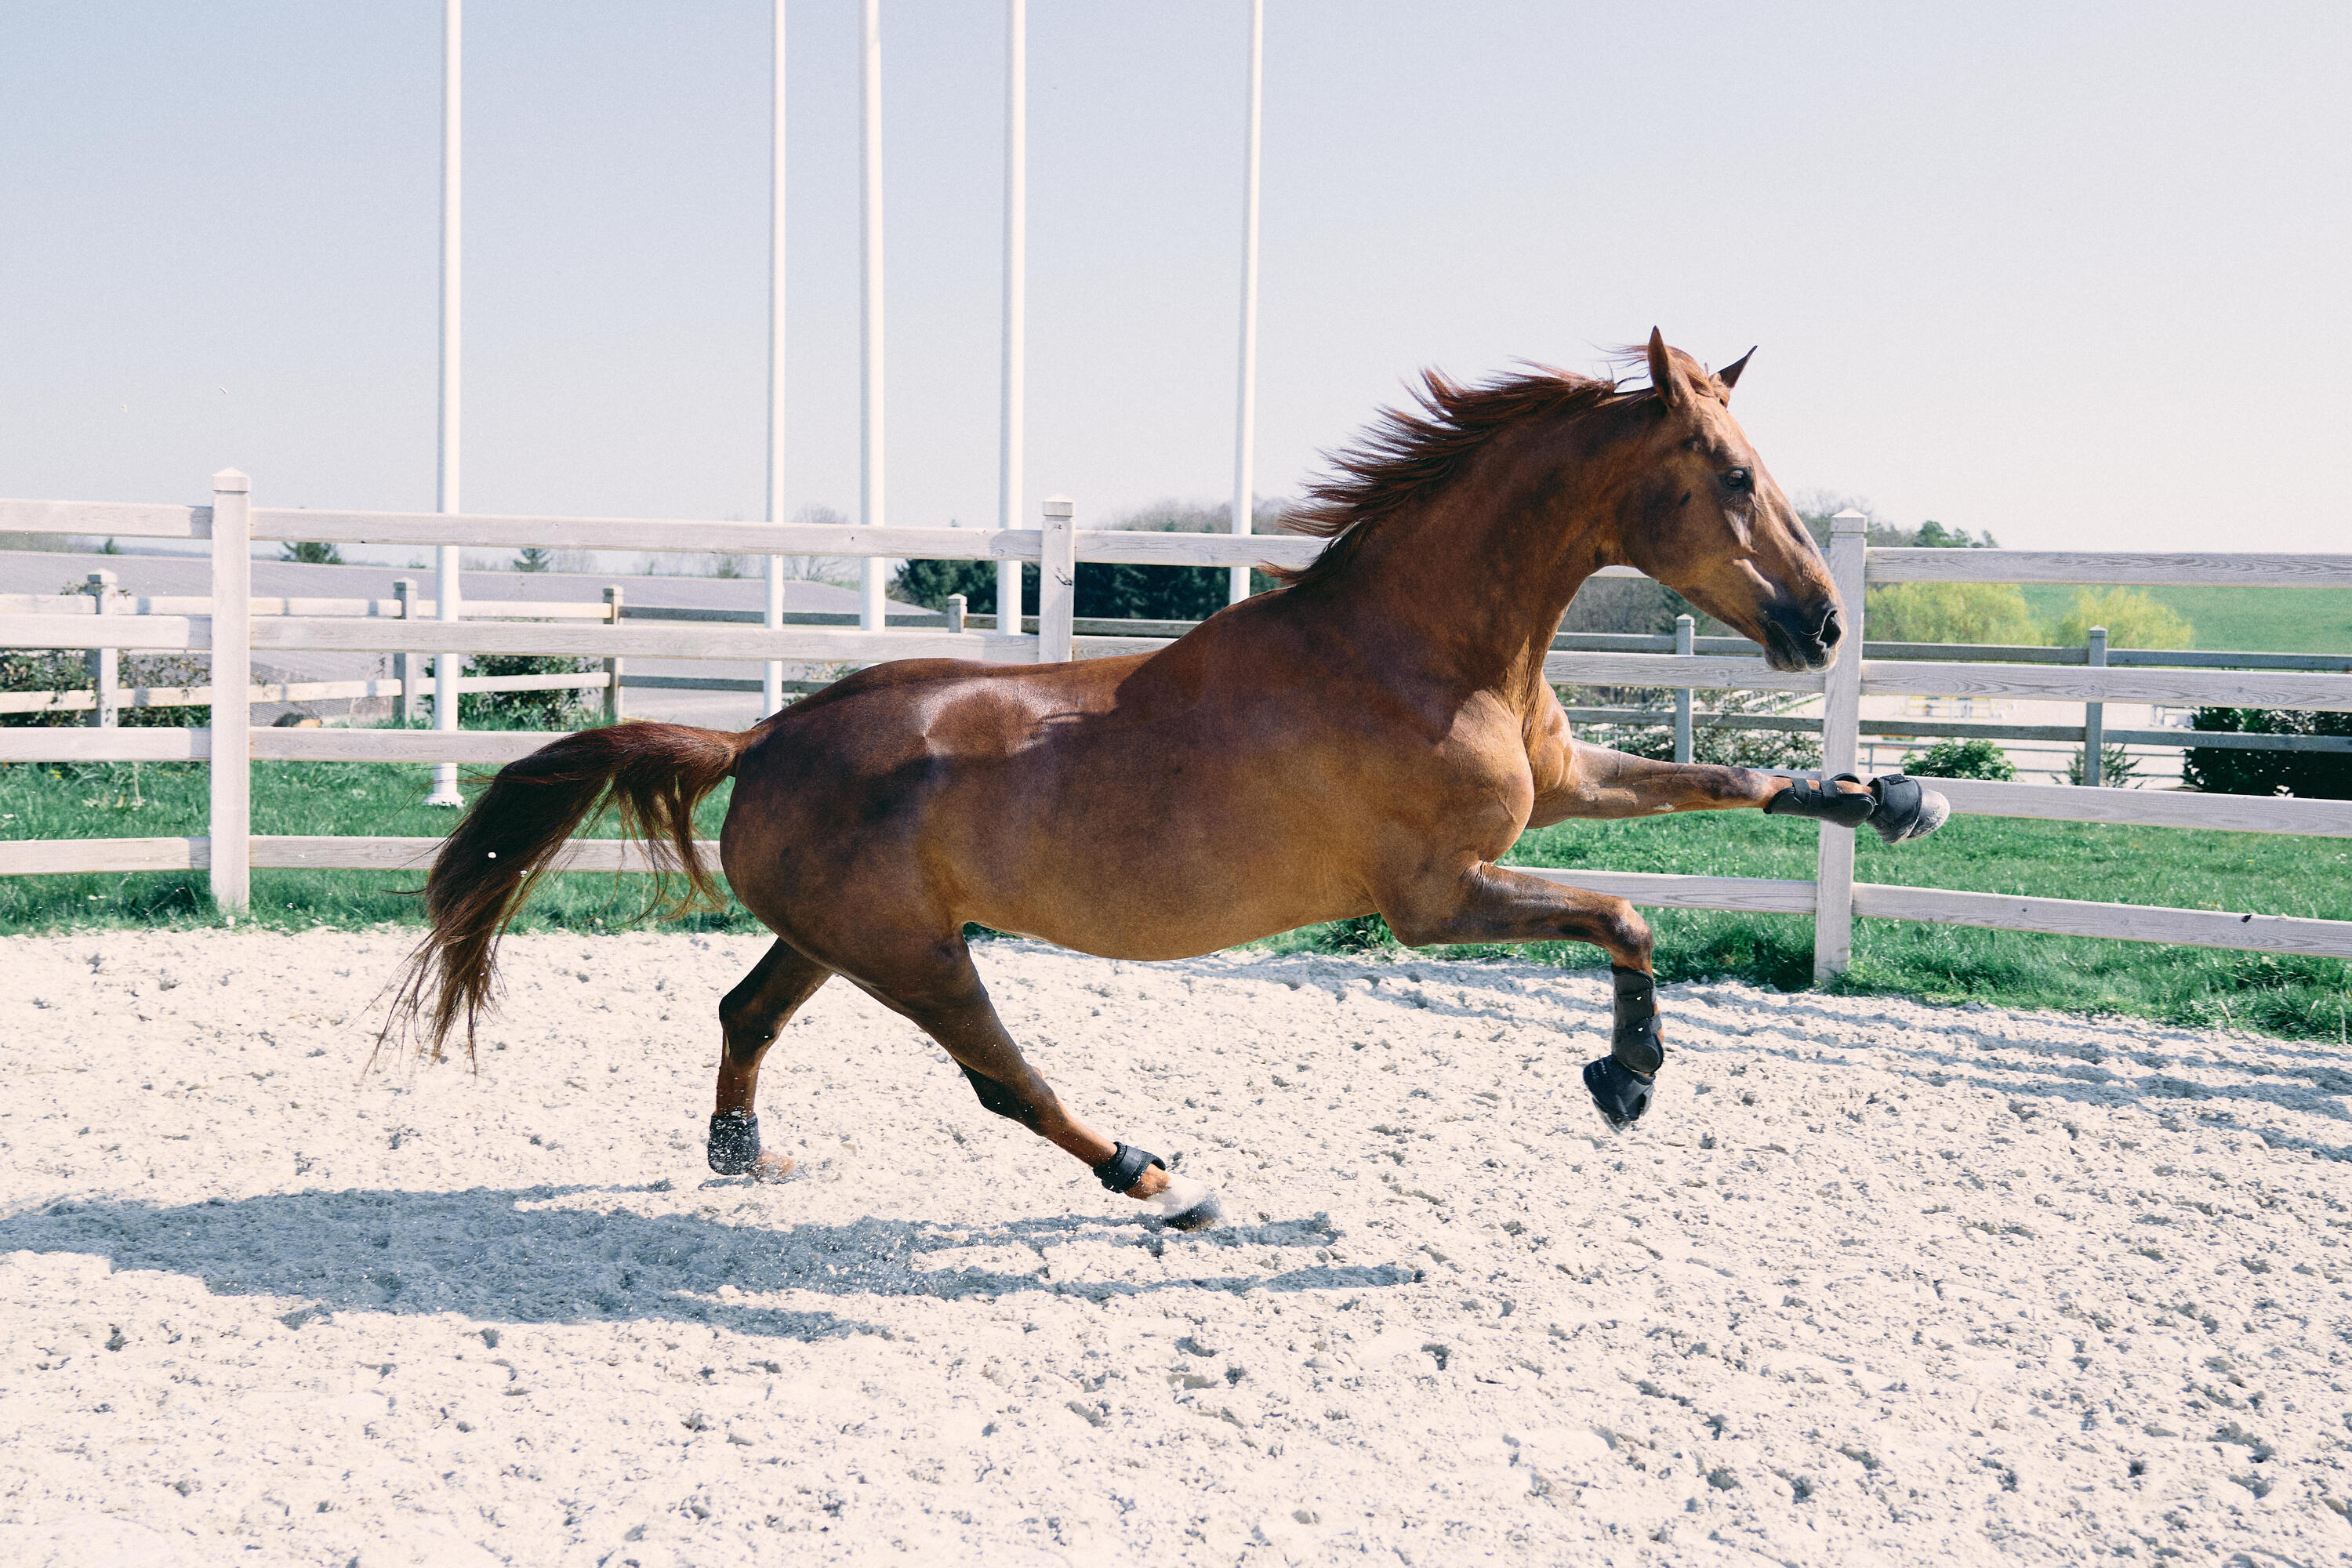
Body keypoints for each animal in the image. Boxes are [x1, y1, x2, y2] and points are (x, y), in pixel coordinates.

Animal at [387, 331, 1947, 1230]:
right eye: (1734, 475)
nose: (1824, 628)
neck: (1424, 647)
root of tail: (761, 739)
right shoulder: (1435, 900)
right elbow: (1626, 917)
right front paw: (1624, 1079)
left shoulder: (1557, 791)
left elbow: (1716, 787)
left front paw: (1891, 798)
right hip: (917, 955)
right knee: (1001, 1077)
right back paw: (1160, 1180)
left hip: (837, 937)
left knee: (747, 1012)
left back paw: (744, 1161)